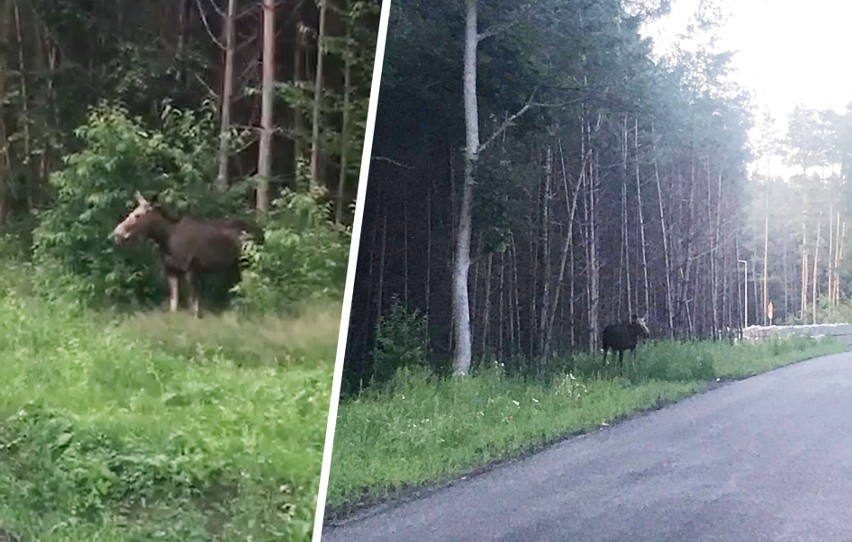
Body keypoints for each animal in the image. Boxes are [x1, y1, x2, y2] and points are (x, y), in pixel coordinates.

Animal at [111, 193, 255, 318]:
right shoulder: (171, 271)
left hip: (245, 263)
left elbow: (194, 303)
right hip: (234, 265)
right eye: (132, 212)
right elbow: (174, 303)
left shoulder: (191, 270)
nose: (117, 233)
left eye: (138, 215)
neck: (164, 238)